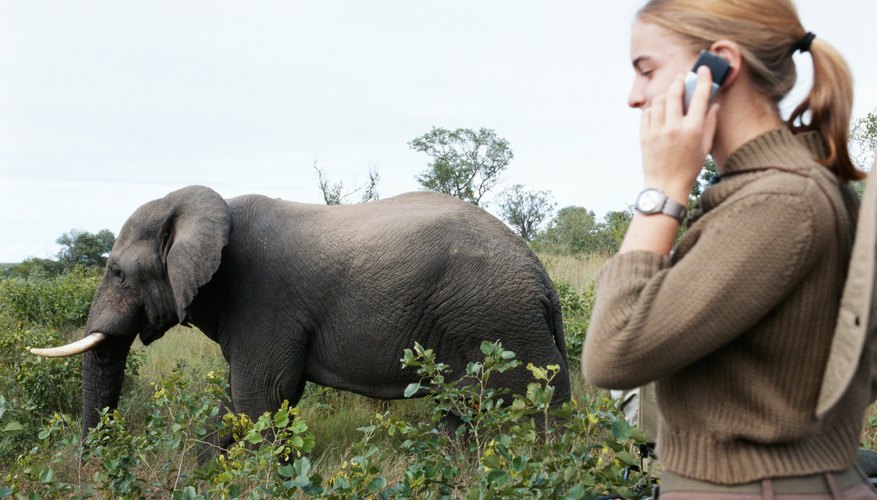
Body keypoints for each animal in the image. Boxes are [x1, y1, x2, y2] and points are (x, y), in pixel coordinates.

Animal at [32, 187, 568, 442]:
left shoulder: (262, 300)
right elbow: (238, 402)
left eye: (117, 273)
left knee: (543, 411)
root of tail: (543, 280)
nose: (88, 465)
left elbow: (262, 398)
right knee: (462, 416)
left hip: (502, 323)